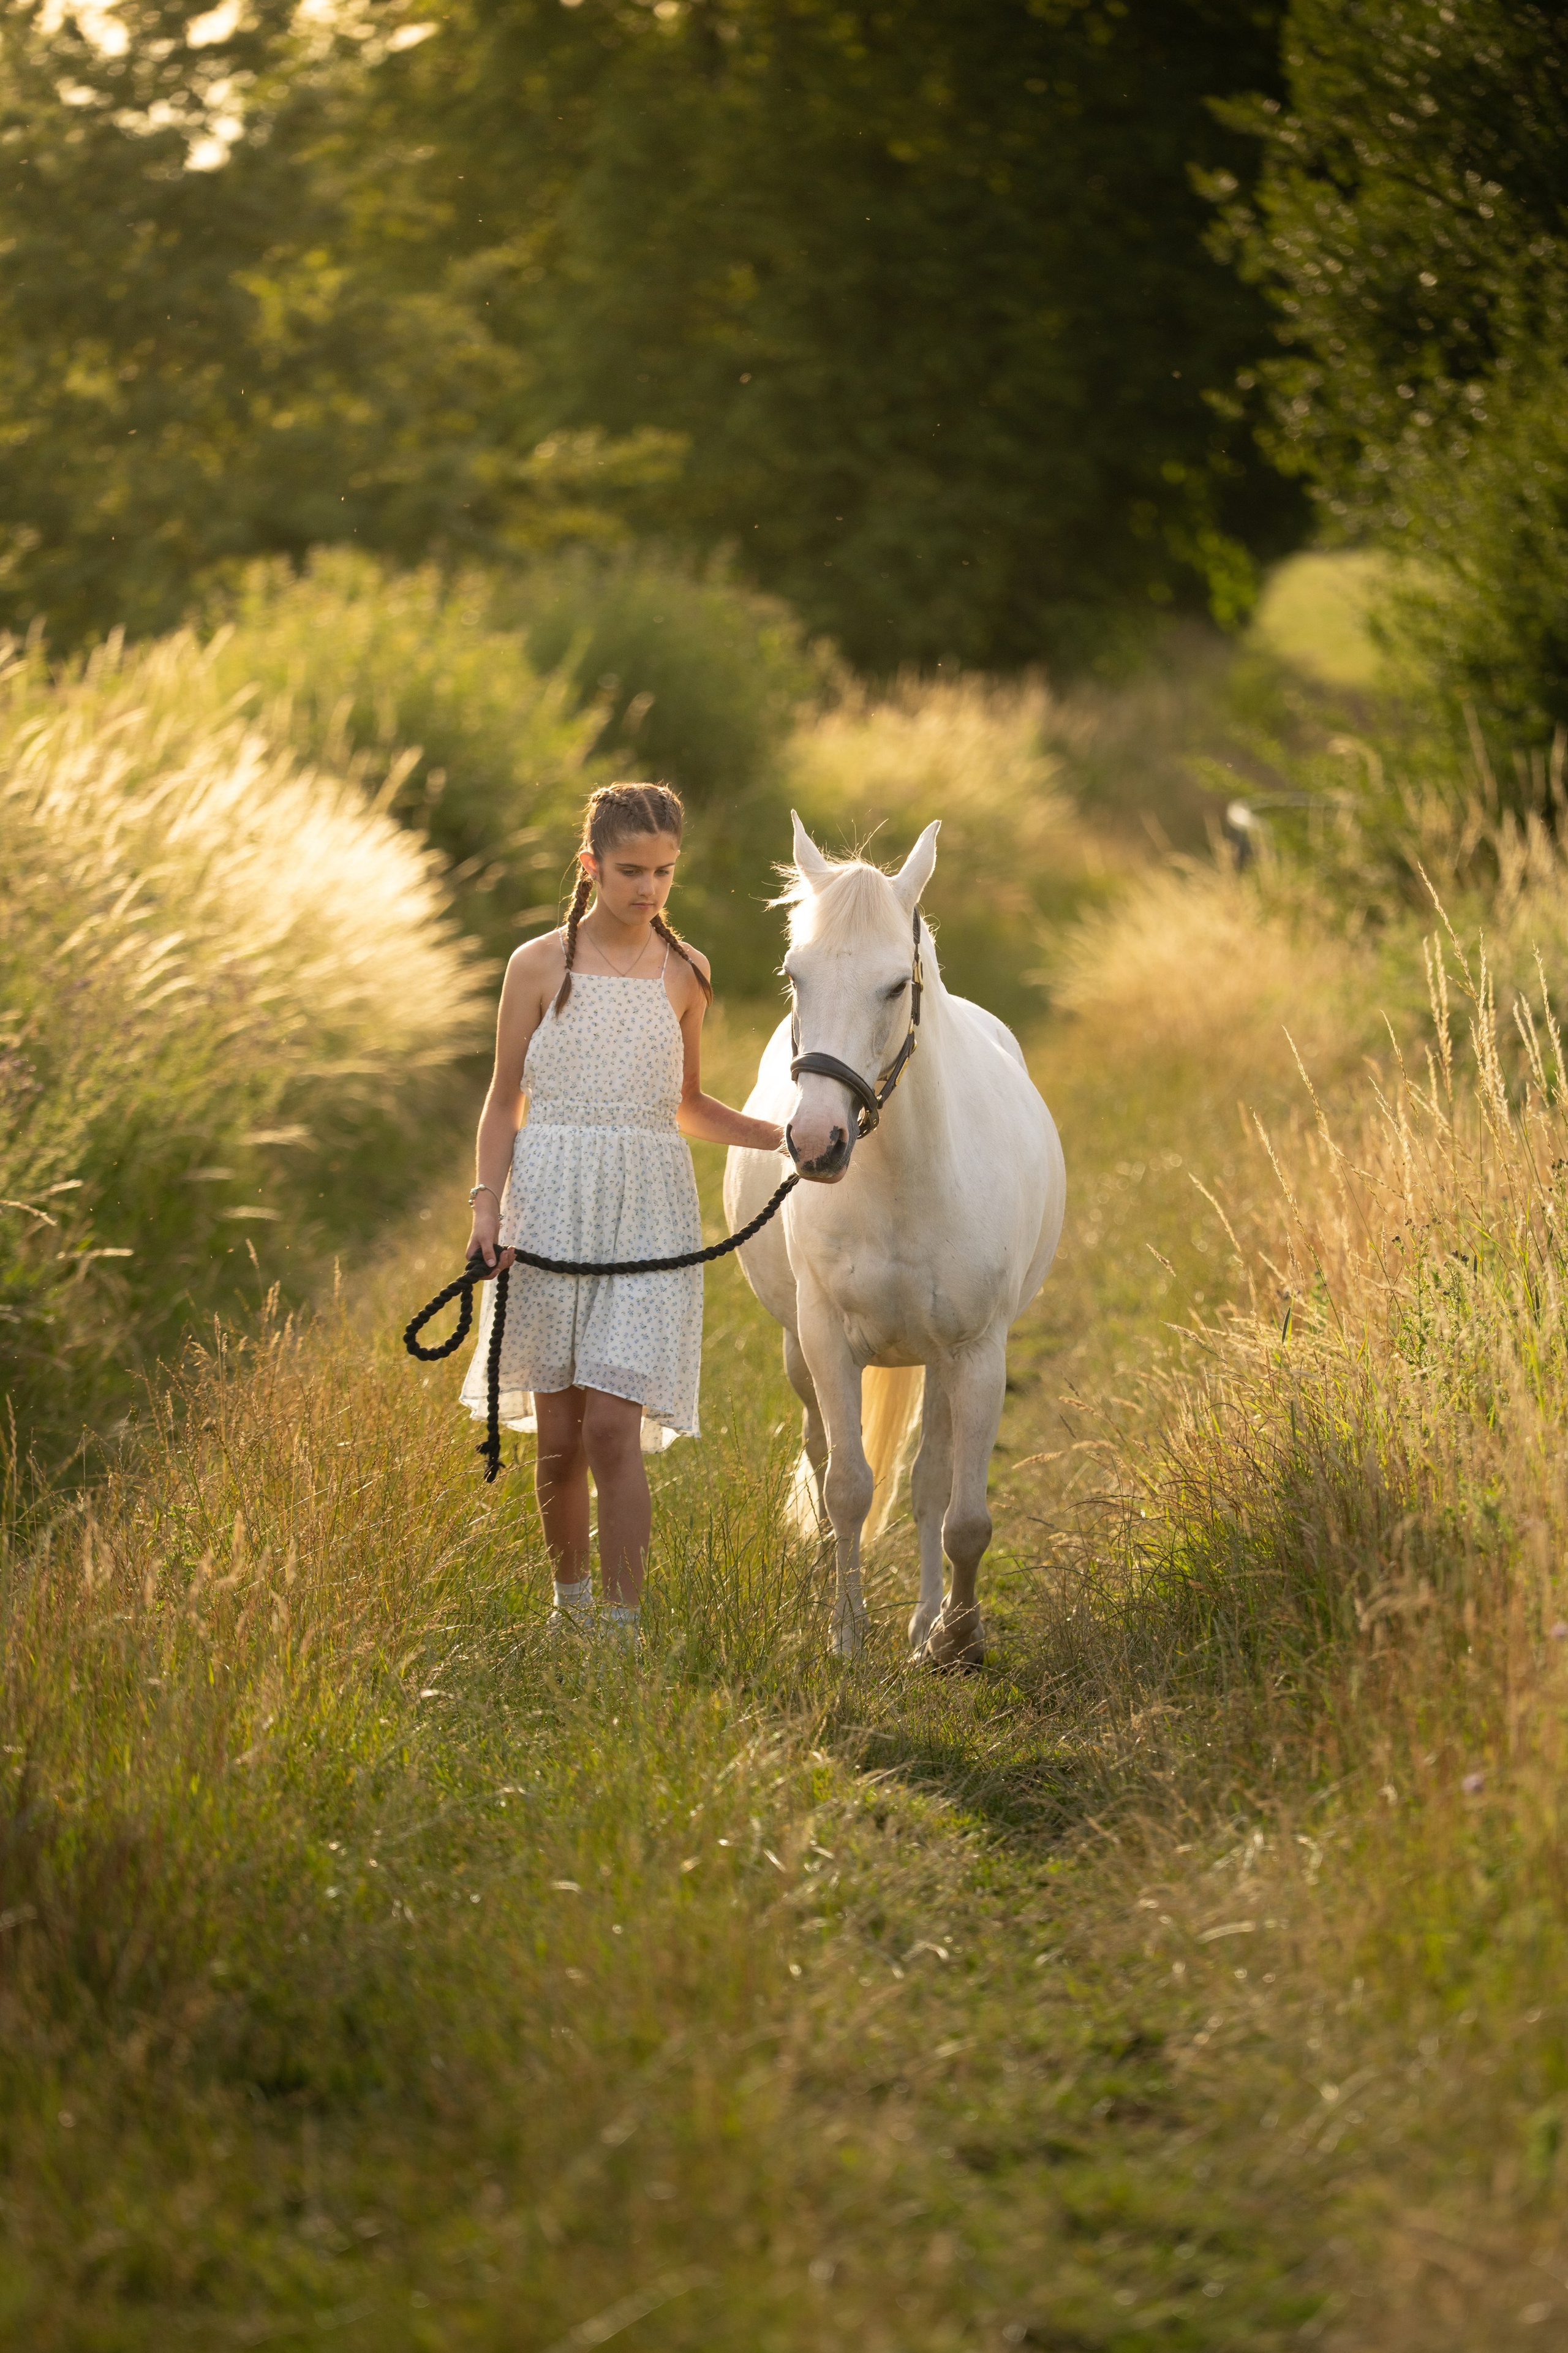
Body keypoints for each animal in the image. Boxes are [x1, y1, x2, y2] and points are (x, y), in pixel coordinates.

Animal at [723, 814, 1066, 1665]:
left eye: (892, 985)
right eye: (795, 975)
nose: (815, 1142)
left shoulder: (976, 1354)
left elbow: (960, 1512)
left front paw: (956, 1638)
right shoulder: (825, 1340)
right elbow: (846, 1486)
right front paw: (845, 1635)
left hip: (939, 1365)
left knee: (929, 1484)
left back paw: (924, 1625)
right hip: (798, 1350)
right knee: (820, 1457)